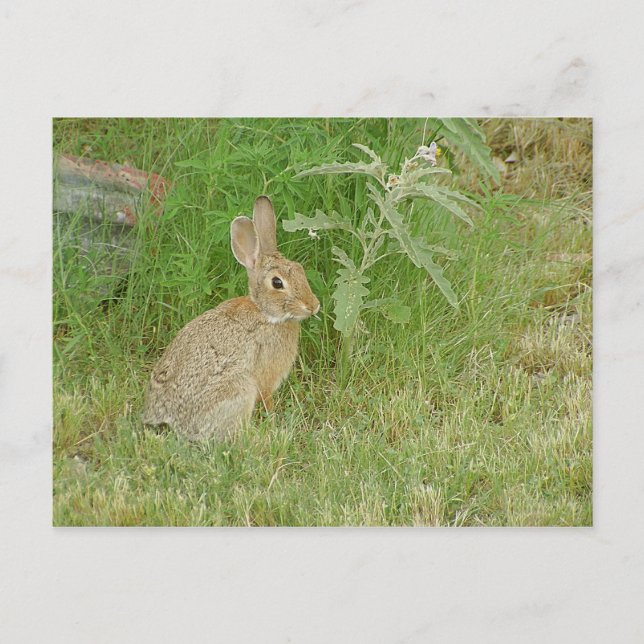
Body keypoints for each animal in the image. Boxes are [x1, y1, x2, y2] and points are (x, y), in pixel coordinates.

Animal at [142, 195, 320, 440]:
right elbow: (267, 398)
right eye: (277, 283)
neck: (264, 312)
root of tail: (171, 419)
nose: (313, 306)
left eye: (300, 269)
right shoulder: (265, 376)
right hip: (240, 388)